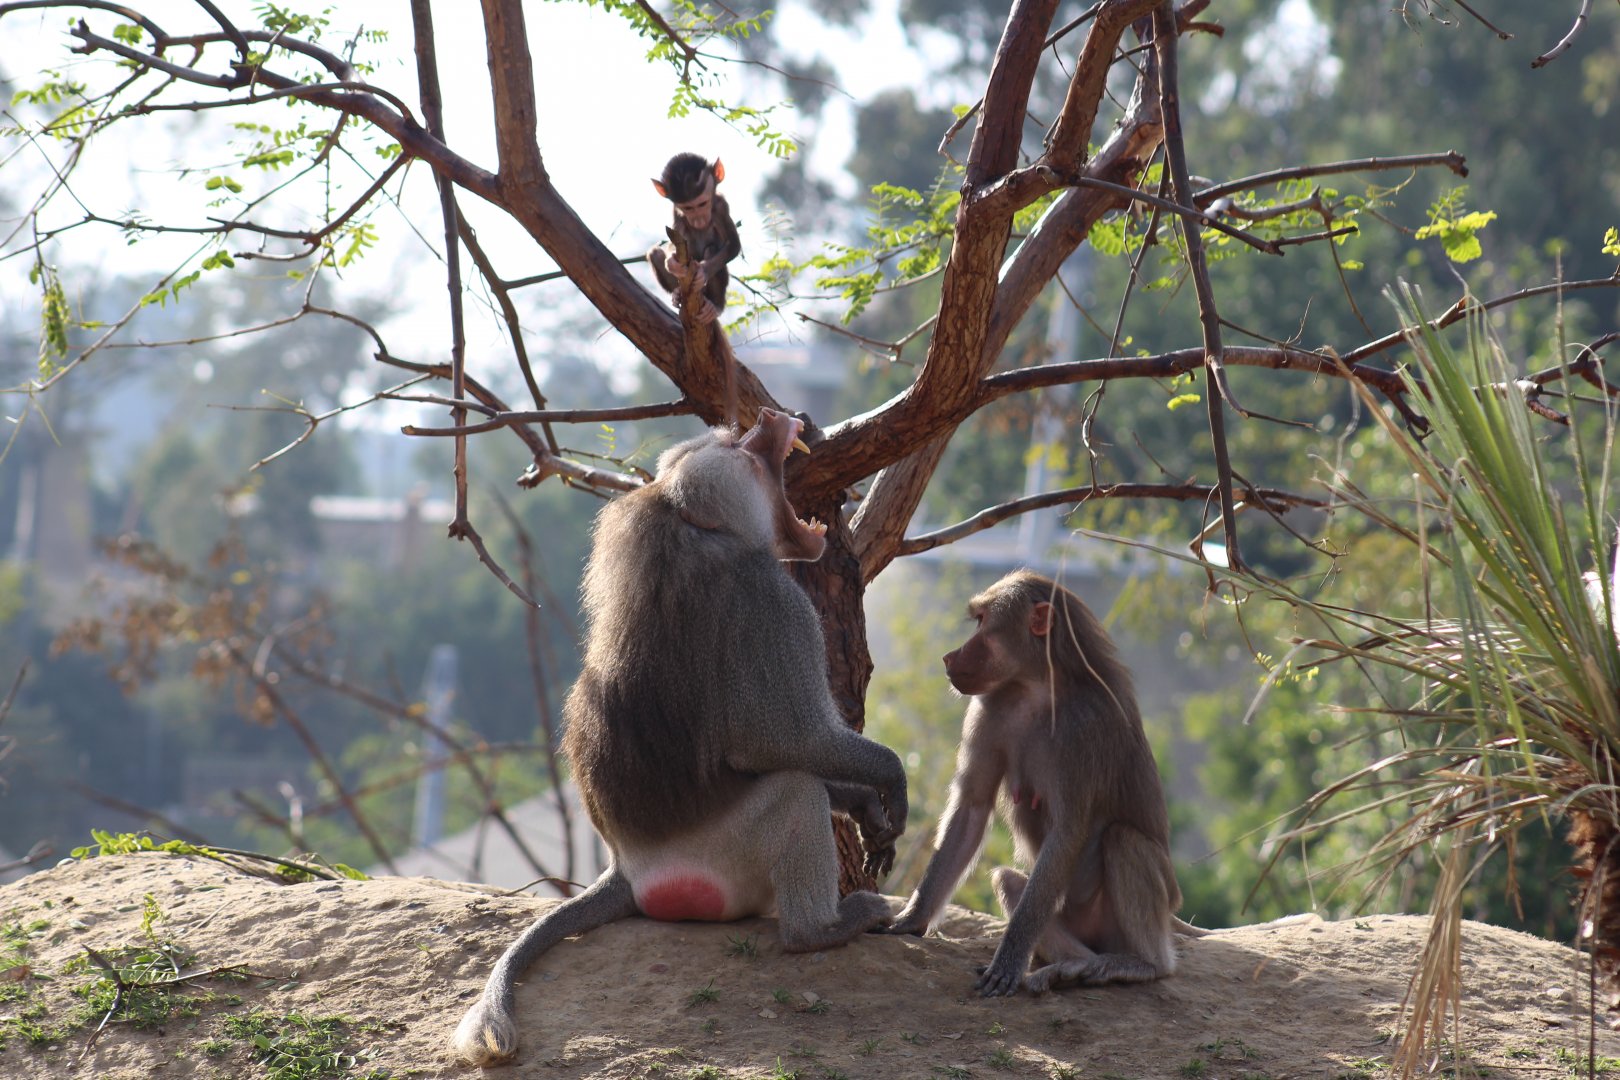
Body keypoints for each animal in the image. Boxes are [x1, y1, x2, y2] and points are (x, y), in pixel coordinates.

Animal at [450, 408, 907, 1067]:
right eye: (735, 447)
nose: (775, 416)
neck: (696, 529)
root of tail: (627, 866)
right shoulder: (776, 603)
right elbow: (784, 740)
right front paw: (889, 779)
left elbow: (785, 749)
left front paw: (868, 806)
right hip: (718, 855)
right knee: (795, 791)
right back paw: (825, 929)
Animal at [648, 153, 741, 325]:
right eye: (688, 208)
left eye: (702, 203)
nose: (698, 220)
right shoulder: (676, 213)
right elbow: (673, 244)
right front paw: (672, 263)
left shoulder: (721, 206)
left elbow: (733, 245)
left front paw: (703, 271)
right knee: (655, 253)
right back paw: (677, 293)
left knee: (711, 248)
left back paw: (715, 306)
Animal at [883, 569, 1202, 996]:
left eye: (982, 621)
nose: (949, 657)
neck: (1038, 686)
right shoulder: (989, 707)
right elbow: (972, 808)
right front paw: (912, 919)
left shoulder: (1084, 727)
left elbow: (1068, 829)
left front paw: (1007, 963)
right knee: (1009, 882)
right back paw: (1075, 966)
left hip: (1142, 909)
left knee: (1123, 840)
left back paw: (1141, 965)